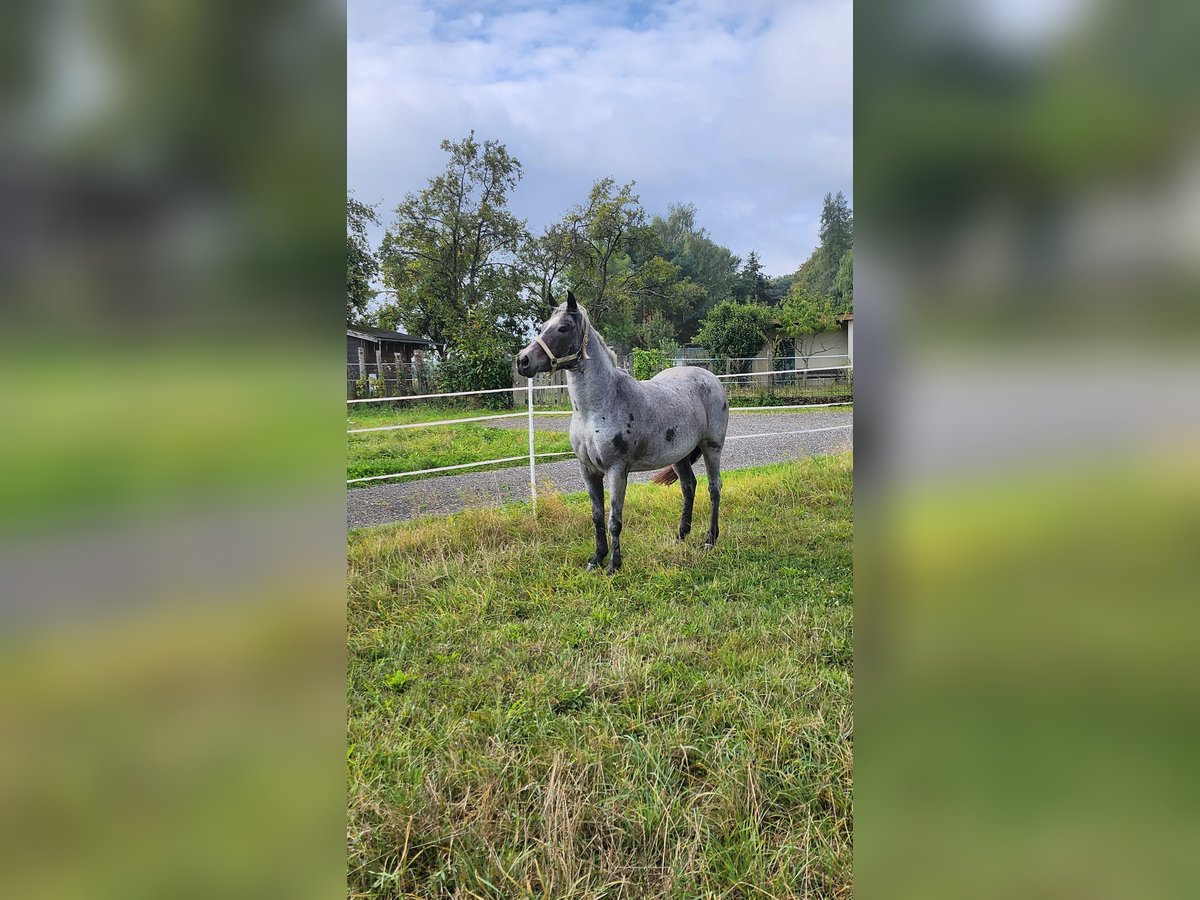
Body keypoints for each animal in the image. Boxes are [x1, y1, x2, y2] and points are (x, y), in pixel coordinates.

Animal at [518, 296, 729, 578]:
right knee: (688, 486)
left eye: (563, 328)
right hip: (679, 455)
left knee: (714, 488)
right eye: (542, 327)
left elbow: (614, 520)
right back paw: (681, 536)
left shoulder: (617, 470)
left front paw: (613, 567)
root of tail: (710, 377)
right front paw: (596, 559)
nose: (523, 360)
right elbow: (597, 516)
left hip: (711, 447)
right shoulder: (588, 470)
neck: (599, 406)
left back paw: (710, 539)